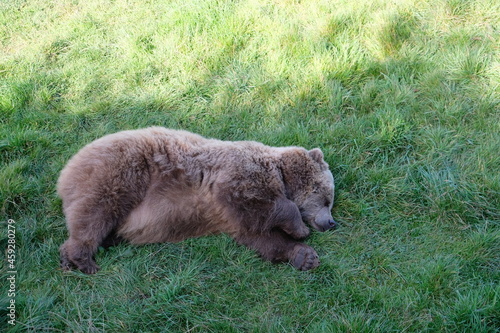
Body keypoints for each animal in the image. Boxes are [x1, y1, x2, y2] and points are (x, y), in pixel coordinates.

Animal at [58, 126, 338, 272]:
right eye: (327, 199)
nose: (331, 222)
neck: (279, 174)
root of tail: (67, 169)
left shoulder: (234, 218)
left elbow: (262, 238)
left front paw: (305, 256)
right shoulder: (237, 177)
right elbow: (265, 206)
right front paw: (300, 229)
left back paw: (68, 259)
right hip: (121, 172)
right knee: (95, 213)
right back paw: (83, 260)